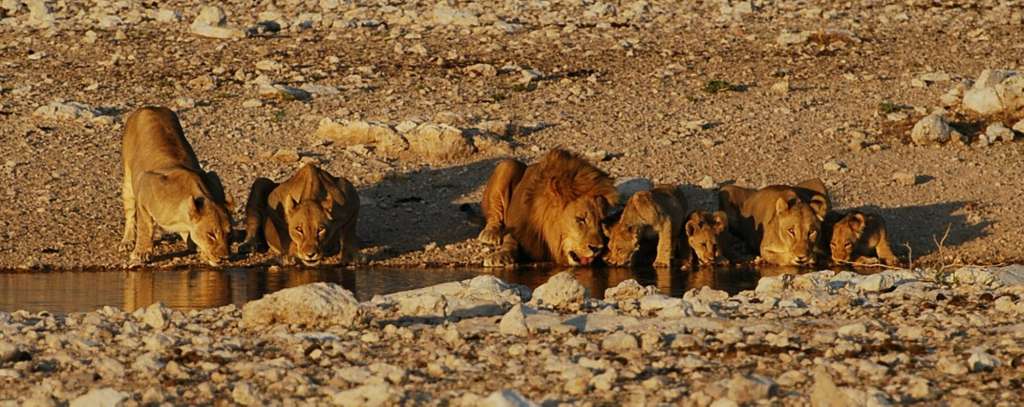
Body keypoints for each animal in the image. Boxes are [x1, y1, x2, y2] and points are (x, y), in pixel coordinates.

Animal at [120, 106, 233, 267]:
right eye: (210, 234)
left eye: (229, 234)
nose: (225, 258)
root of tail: (150, 107)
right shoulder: (146, 185)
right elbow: (144, 227)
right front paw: (140, 253)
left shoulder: (213, 177)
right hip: (128, 179)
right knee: (130, 212)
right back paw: (127, 241)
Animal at [478, 149, 618, 267]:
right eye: (580, 219)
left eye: (602, 221)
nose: (597, 248)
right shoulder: (517, 227)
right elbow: (510, 241)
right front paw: (499, 256)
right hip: (507, 165)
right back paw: (490, 234)